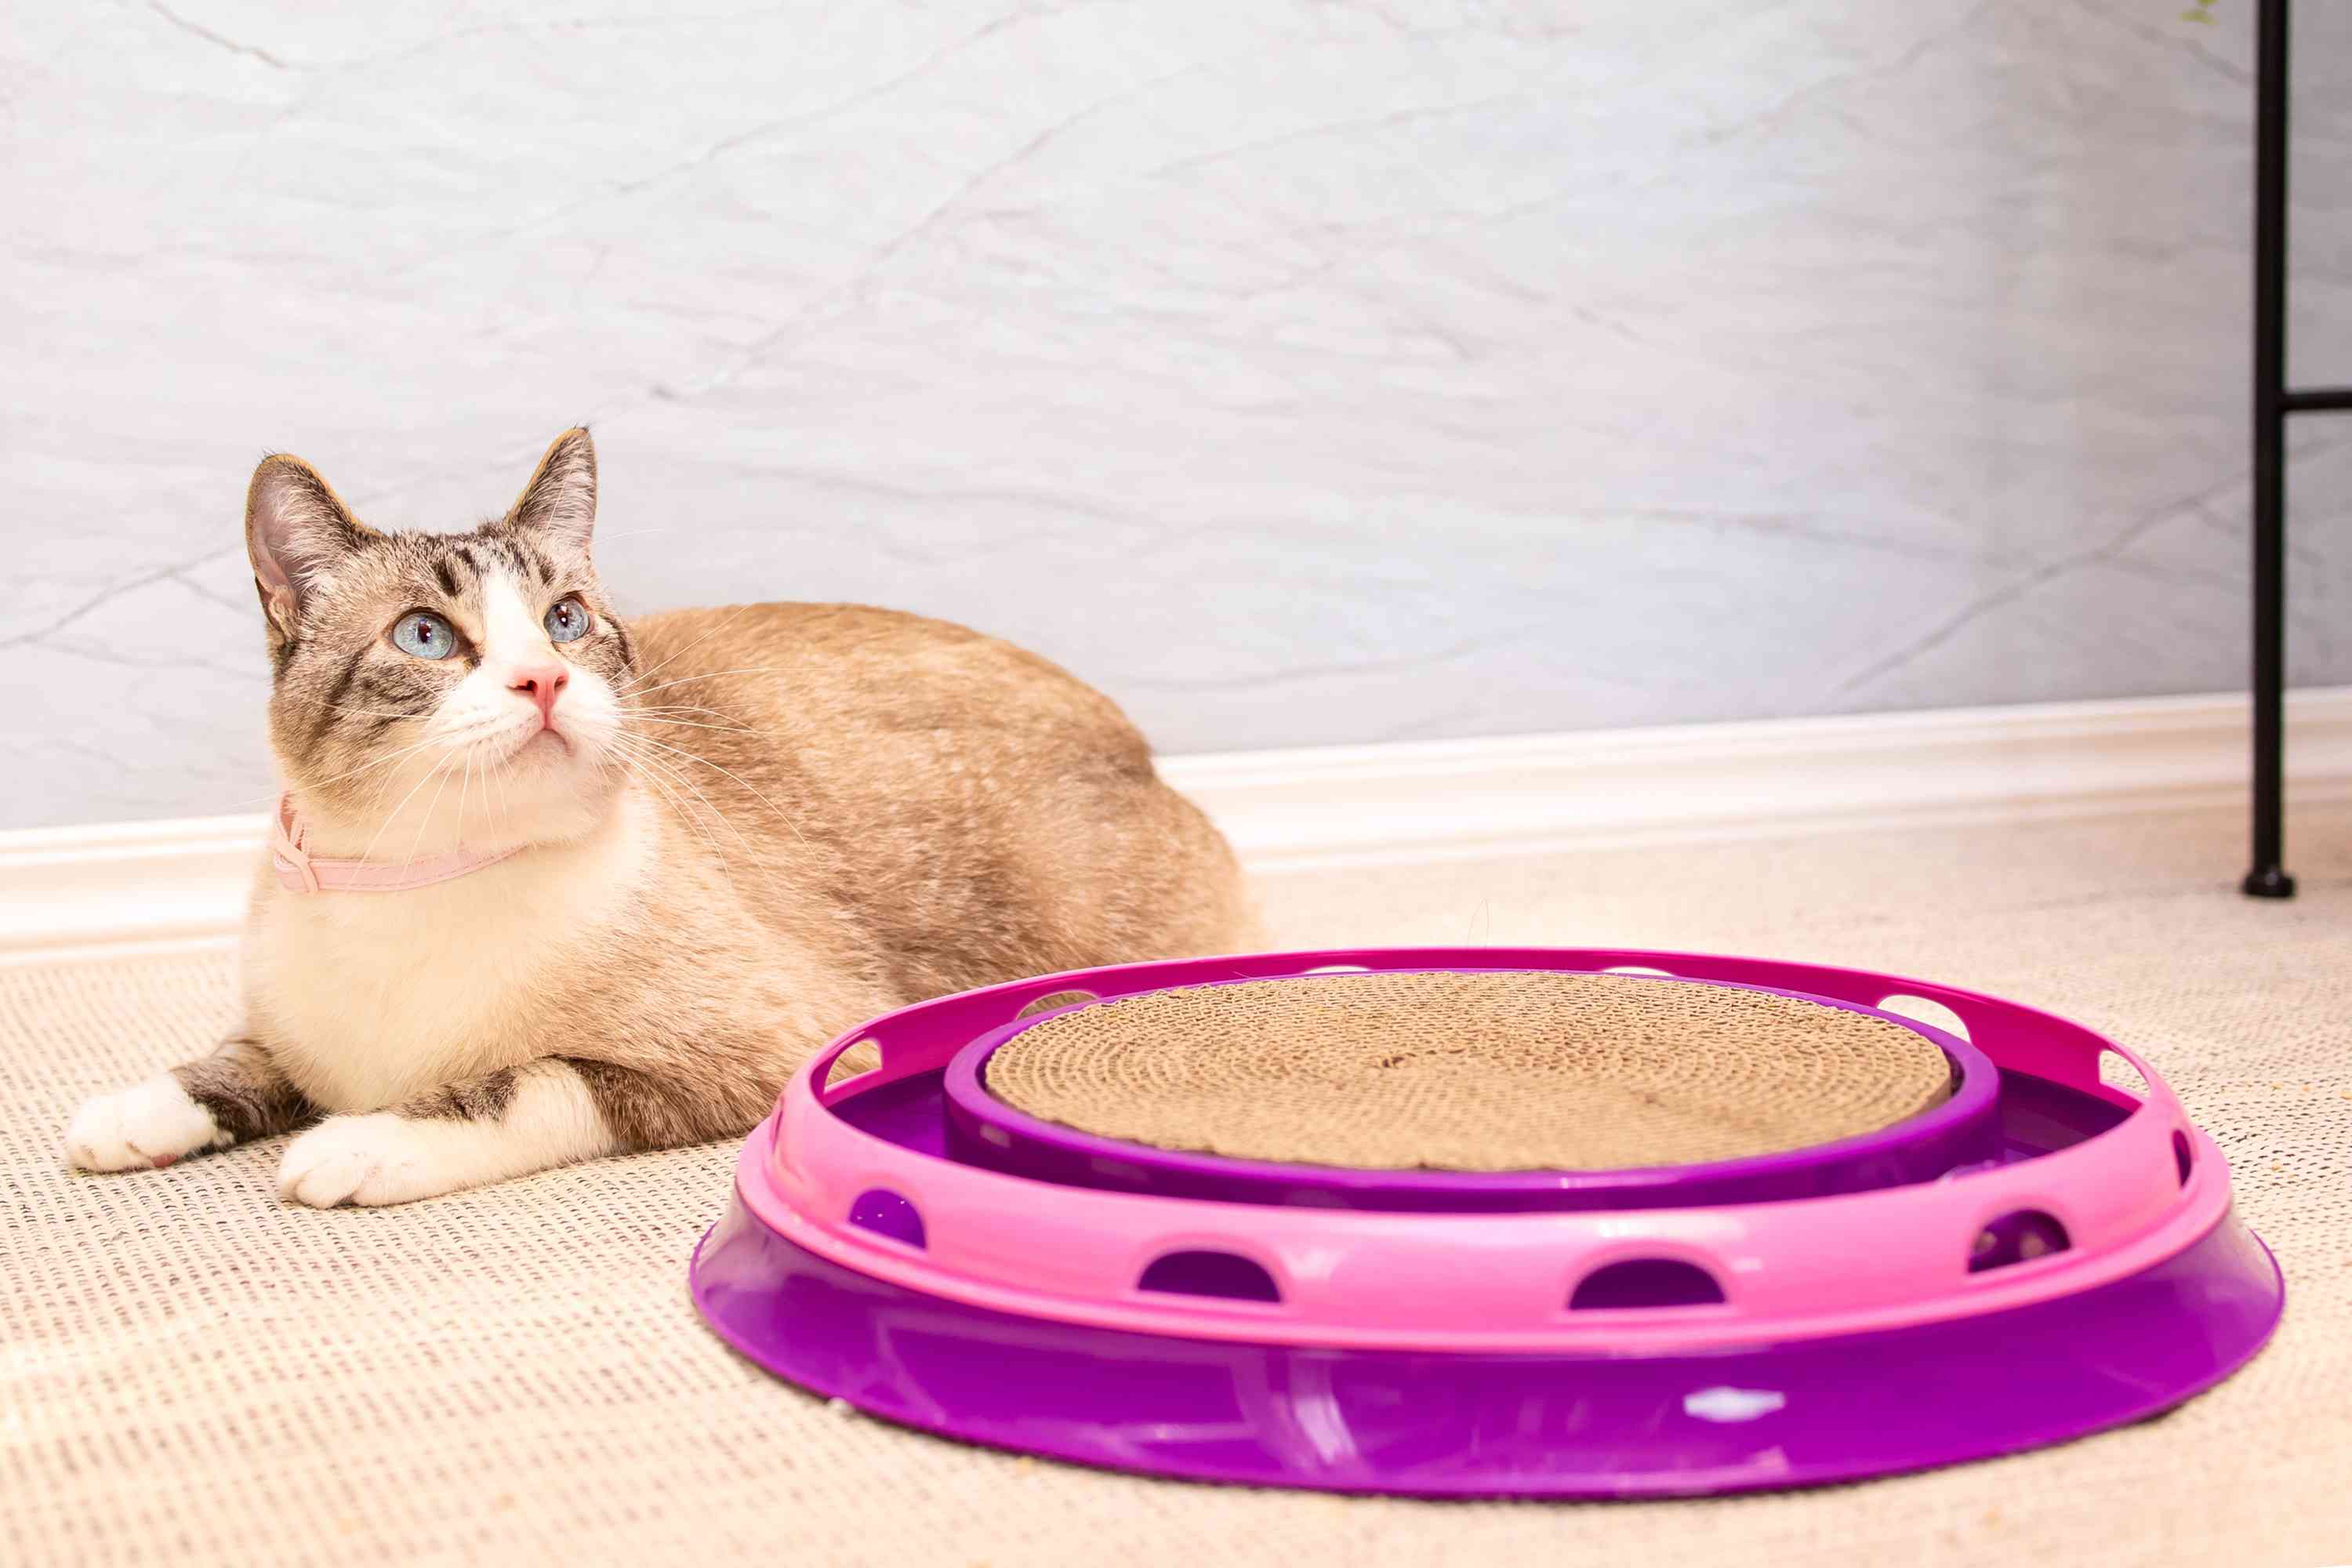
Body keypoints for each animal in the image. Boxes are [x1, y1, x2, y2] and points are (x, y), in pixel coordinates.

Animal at [64, 430, 1261, 1203]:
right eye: (425, 637)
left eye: (565, 619)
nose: (545, 679)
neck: (415, 878)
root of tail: (1138, 747)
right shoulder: (288, 1034)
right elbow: (231, 1064)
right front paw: (126, 1117)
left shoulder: (750, 1048)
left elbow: (518, 1084)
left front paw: (361, 1145)